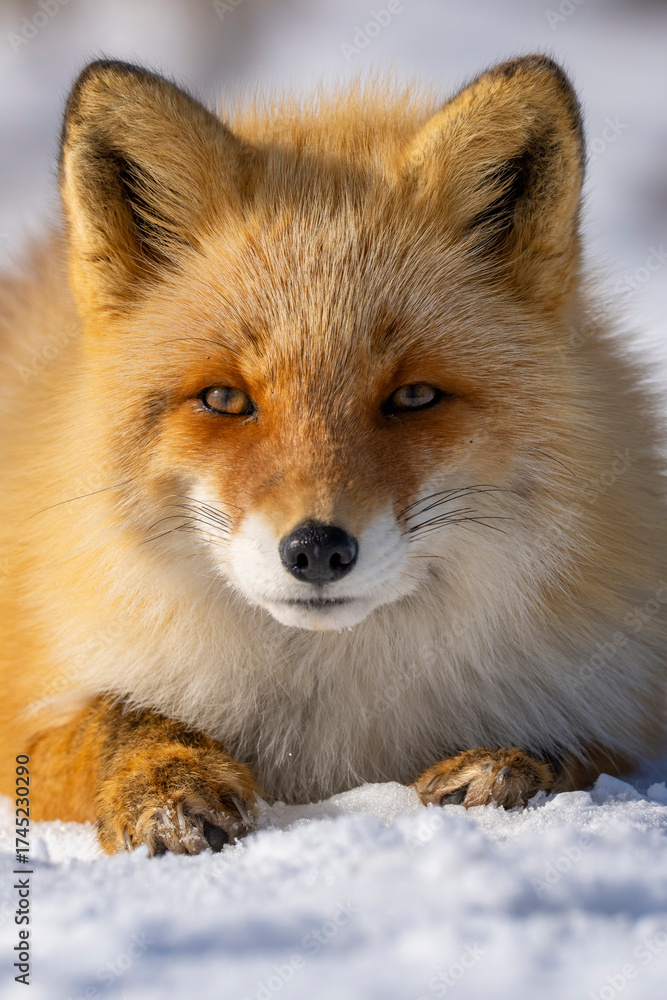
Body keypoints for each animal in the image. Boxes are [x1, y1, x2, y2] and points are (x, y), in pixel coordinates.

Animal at [0, 54, 665, 855]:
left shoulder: (624, 708)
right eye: (225, 399)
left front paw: (510, 765)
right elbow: (115, 716)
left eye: (413, 396)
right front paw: (164, 782)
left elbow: (574, 747)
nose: (316, 548)